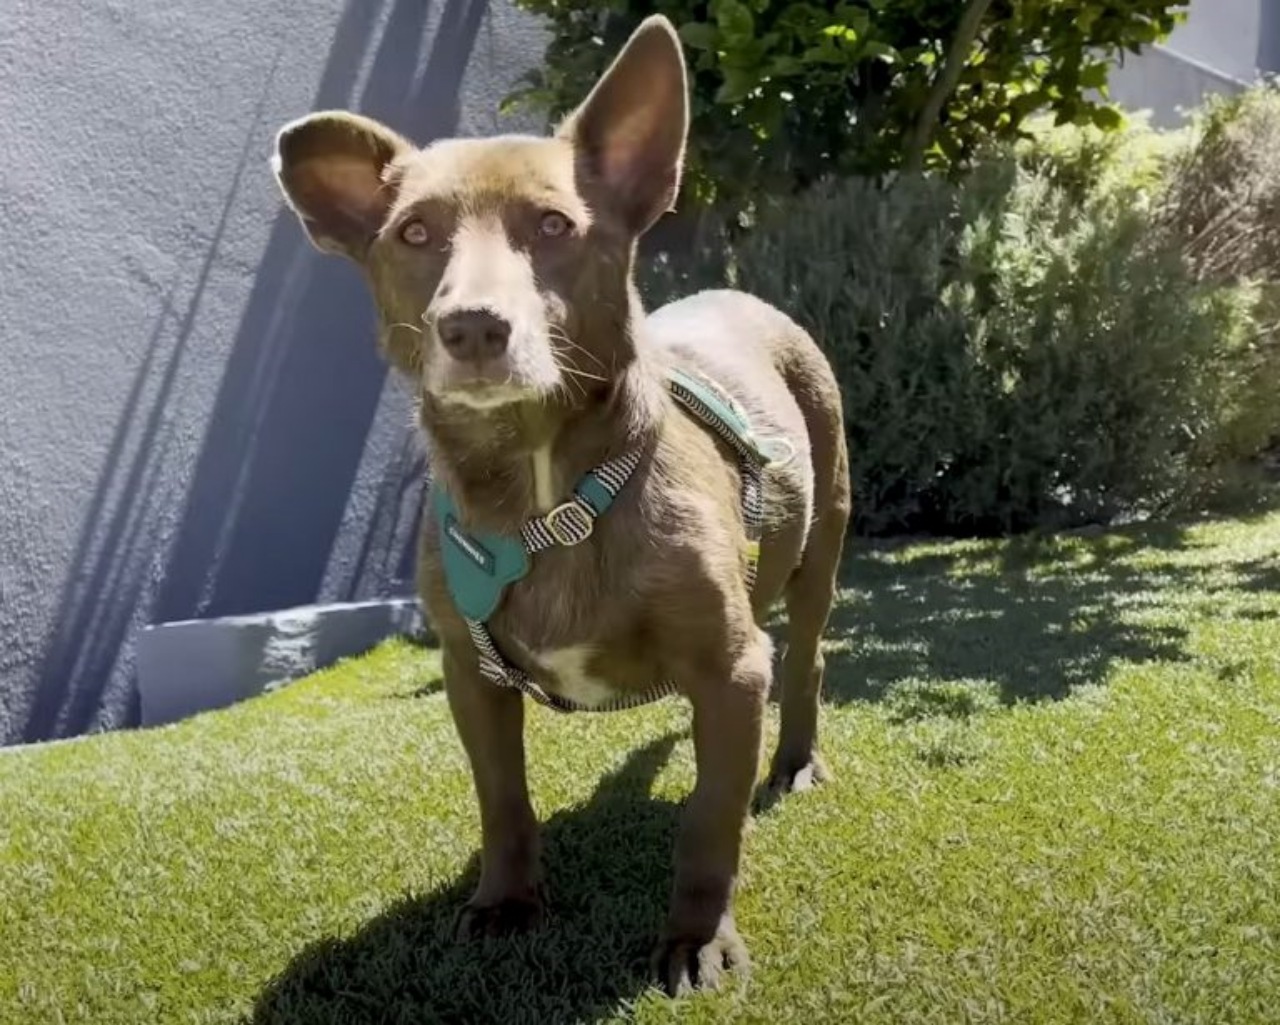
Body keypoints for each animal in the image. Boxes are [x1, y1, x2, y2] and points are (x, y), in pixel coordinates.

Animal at [270, 13, 849, 993]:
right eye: (414, 232)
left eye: (553, 224)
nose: (472, 327)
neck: (540, 492)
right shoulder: (471, 675)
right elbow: (502, 798)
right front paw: (506, 902)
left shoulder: (732, 670)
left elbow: (710, 820)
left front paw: (697, 938)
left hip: (821, 543)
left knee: (804, 659)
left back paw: (795, 760)